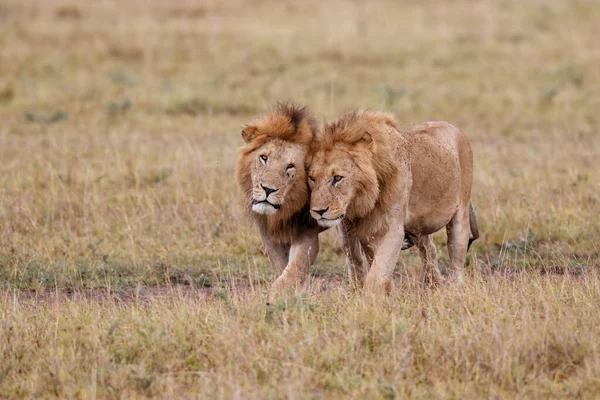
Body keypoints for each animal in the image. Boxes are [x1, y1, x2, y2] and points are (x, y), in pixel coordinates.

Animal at [234, 103, 322, 300]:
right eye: (264, 158)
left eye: (290, 166)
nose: (268, 189)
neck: (282, 211)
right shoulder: (268, 233)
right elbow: (281, 267)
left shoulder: (307, 232)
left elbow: (294, 269)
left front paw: (276, 297)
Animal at [308, 111, 480, 292]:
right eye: (312, 178)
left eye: (337, 178)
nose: (319, 211)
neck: (360, 203)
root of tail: (452, 127)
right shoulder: (347, 228)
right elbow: (356, 263)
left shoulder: (392, 229)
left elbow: (377, 272)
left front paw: (372, 296)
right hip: (419, 226)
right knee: (429, 249)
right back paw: (434, 283)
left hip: (460, 214)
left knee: (456, 257)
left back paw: (455, 288)